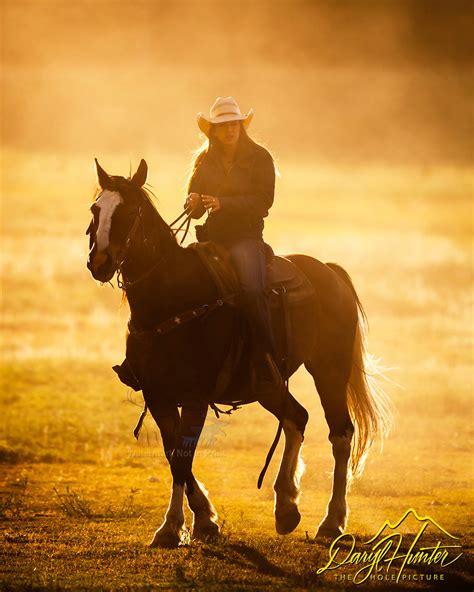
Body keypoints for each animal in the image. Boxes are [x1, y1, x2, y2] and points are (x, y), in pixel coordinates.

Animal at [87, 160, 390, 548]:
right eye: (96, 210)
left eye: (127, 211)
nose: (99, 262)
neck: (173, 299)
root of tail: (328, 271)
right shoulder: (158, 396)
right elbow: (173, 455)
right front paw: (197, 521)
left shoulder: (196, 397)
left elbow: (183, 456)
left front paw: (178, 526)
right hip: (268, 386)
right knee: (297, 417)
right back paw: (286, 506)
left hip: (329, 369)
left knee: (340, 434)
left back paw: (331, 521)